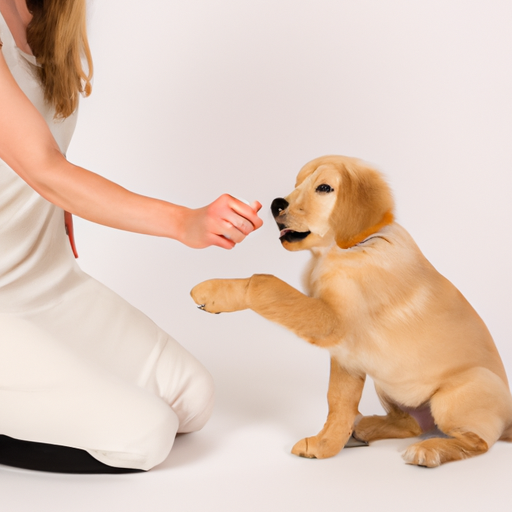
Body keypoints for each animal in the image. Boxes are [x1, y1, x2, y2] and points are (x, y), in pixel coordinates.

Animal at [192, 154, 512, 466]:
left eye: (324, 188)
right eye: (297, 184)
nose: (276, 204)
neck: (349, 247)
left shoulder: (334, 323)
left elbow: (264, 283)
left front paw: (213, 291)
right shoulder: (347, 355)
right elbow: (339, 401)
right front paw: (326, 443)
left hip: (460, 391)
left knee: (477, 441)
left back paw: (429, 451)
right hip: (386, 383)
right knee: (410, 425)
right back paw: (364, 428)